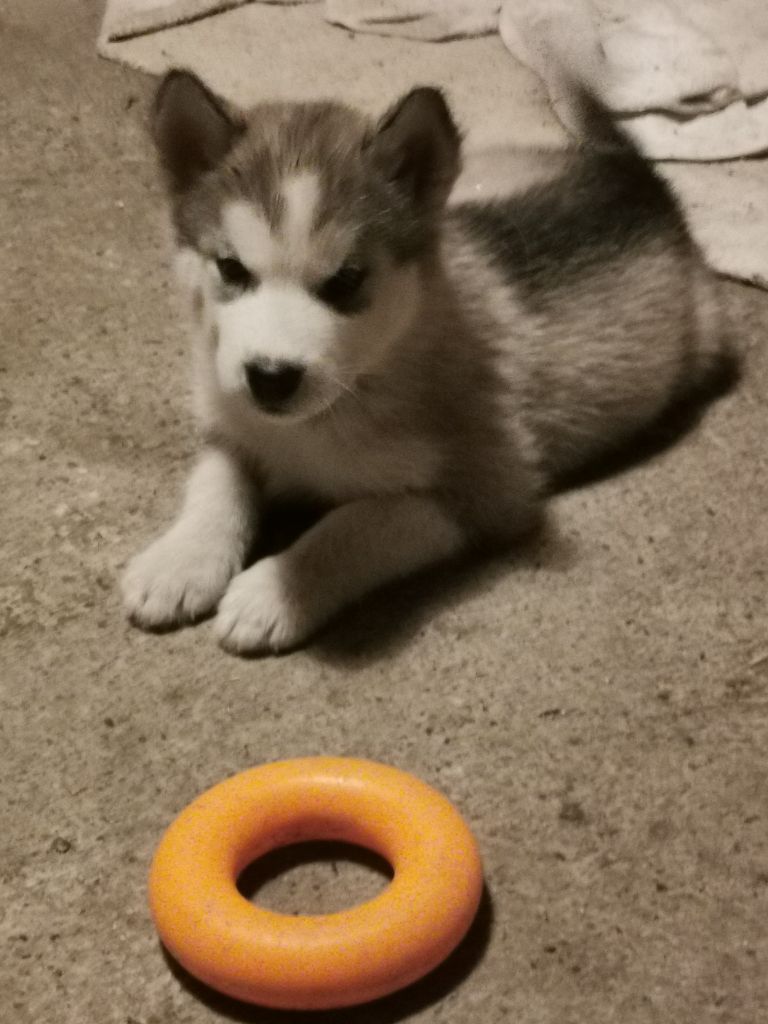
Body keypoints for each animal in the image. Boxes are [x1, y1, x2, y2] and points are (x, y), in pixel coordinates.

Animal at [121, 70, 732, 654]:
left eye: (346, 280)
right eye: (230, 268)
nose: (270, 378)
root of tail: (638, 176)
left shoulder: (486, 492)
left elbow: (355, 523)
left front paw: (273, 591)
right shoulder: (229, 425)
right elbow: (216, 485)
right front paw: (179, 563)